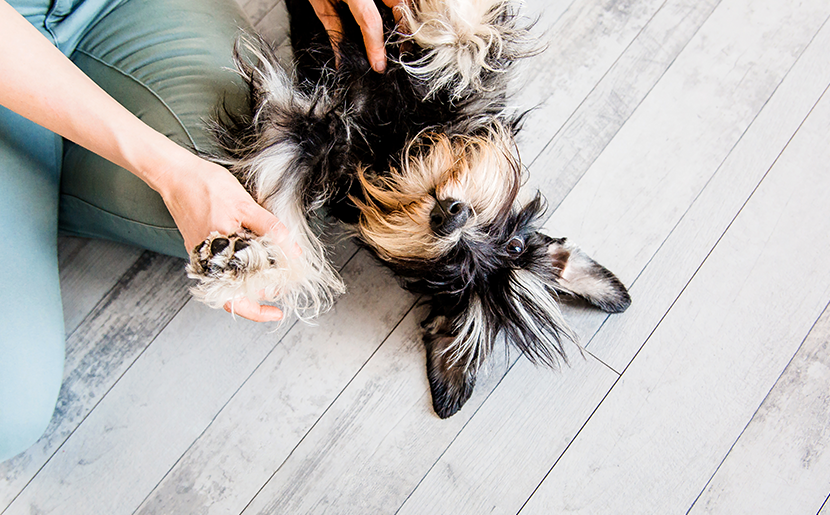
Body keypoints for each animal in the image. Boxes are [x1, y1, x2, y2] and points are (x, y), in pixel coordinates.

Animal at [187, 0, 632, 420]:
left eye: (453, 275)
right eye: (516, 247)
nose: (450, 216)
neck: (396, 160)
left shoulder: (300, 138)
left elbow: (284, 216)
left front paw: (239, 265)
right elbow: (464, 43)